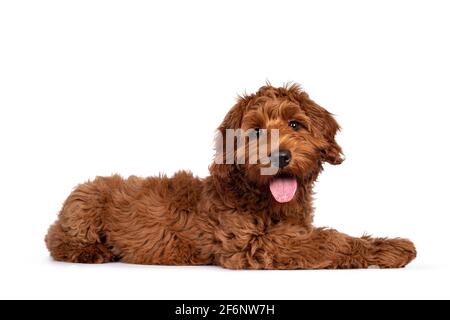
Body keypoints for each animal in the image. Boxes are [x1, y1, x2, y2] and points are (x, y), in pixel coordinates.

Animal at [44, 84, 416, 268]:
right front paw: (390, 249)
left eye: (295, 124)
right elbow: (326, 240)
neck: (265, 200)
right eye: (254, 131)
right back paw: (92, 251)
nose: (280, 156)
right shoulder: (250, 244)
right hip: (86, 200)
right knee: (55, 239)